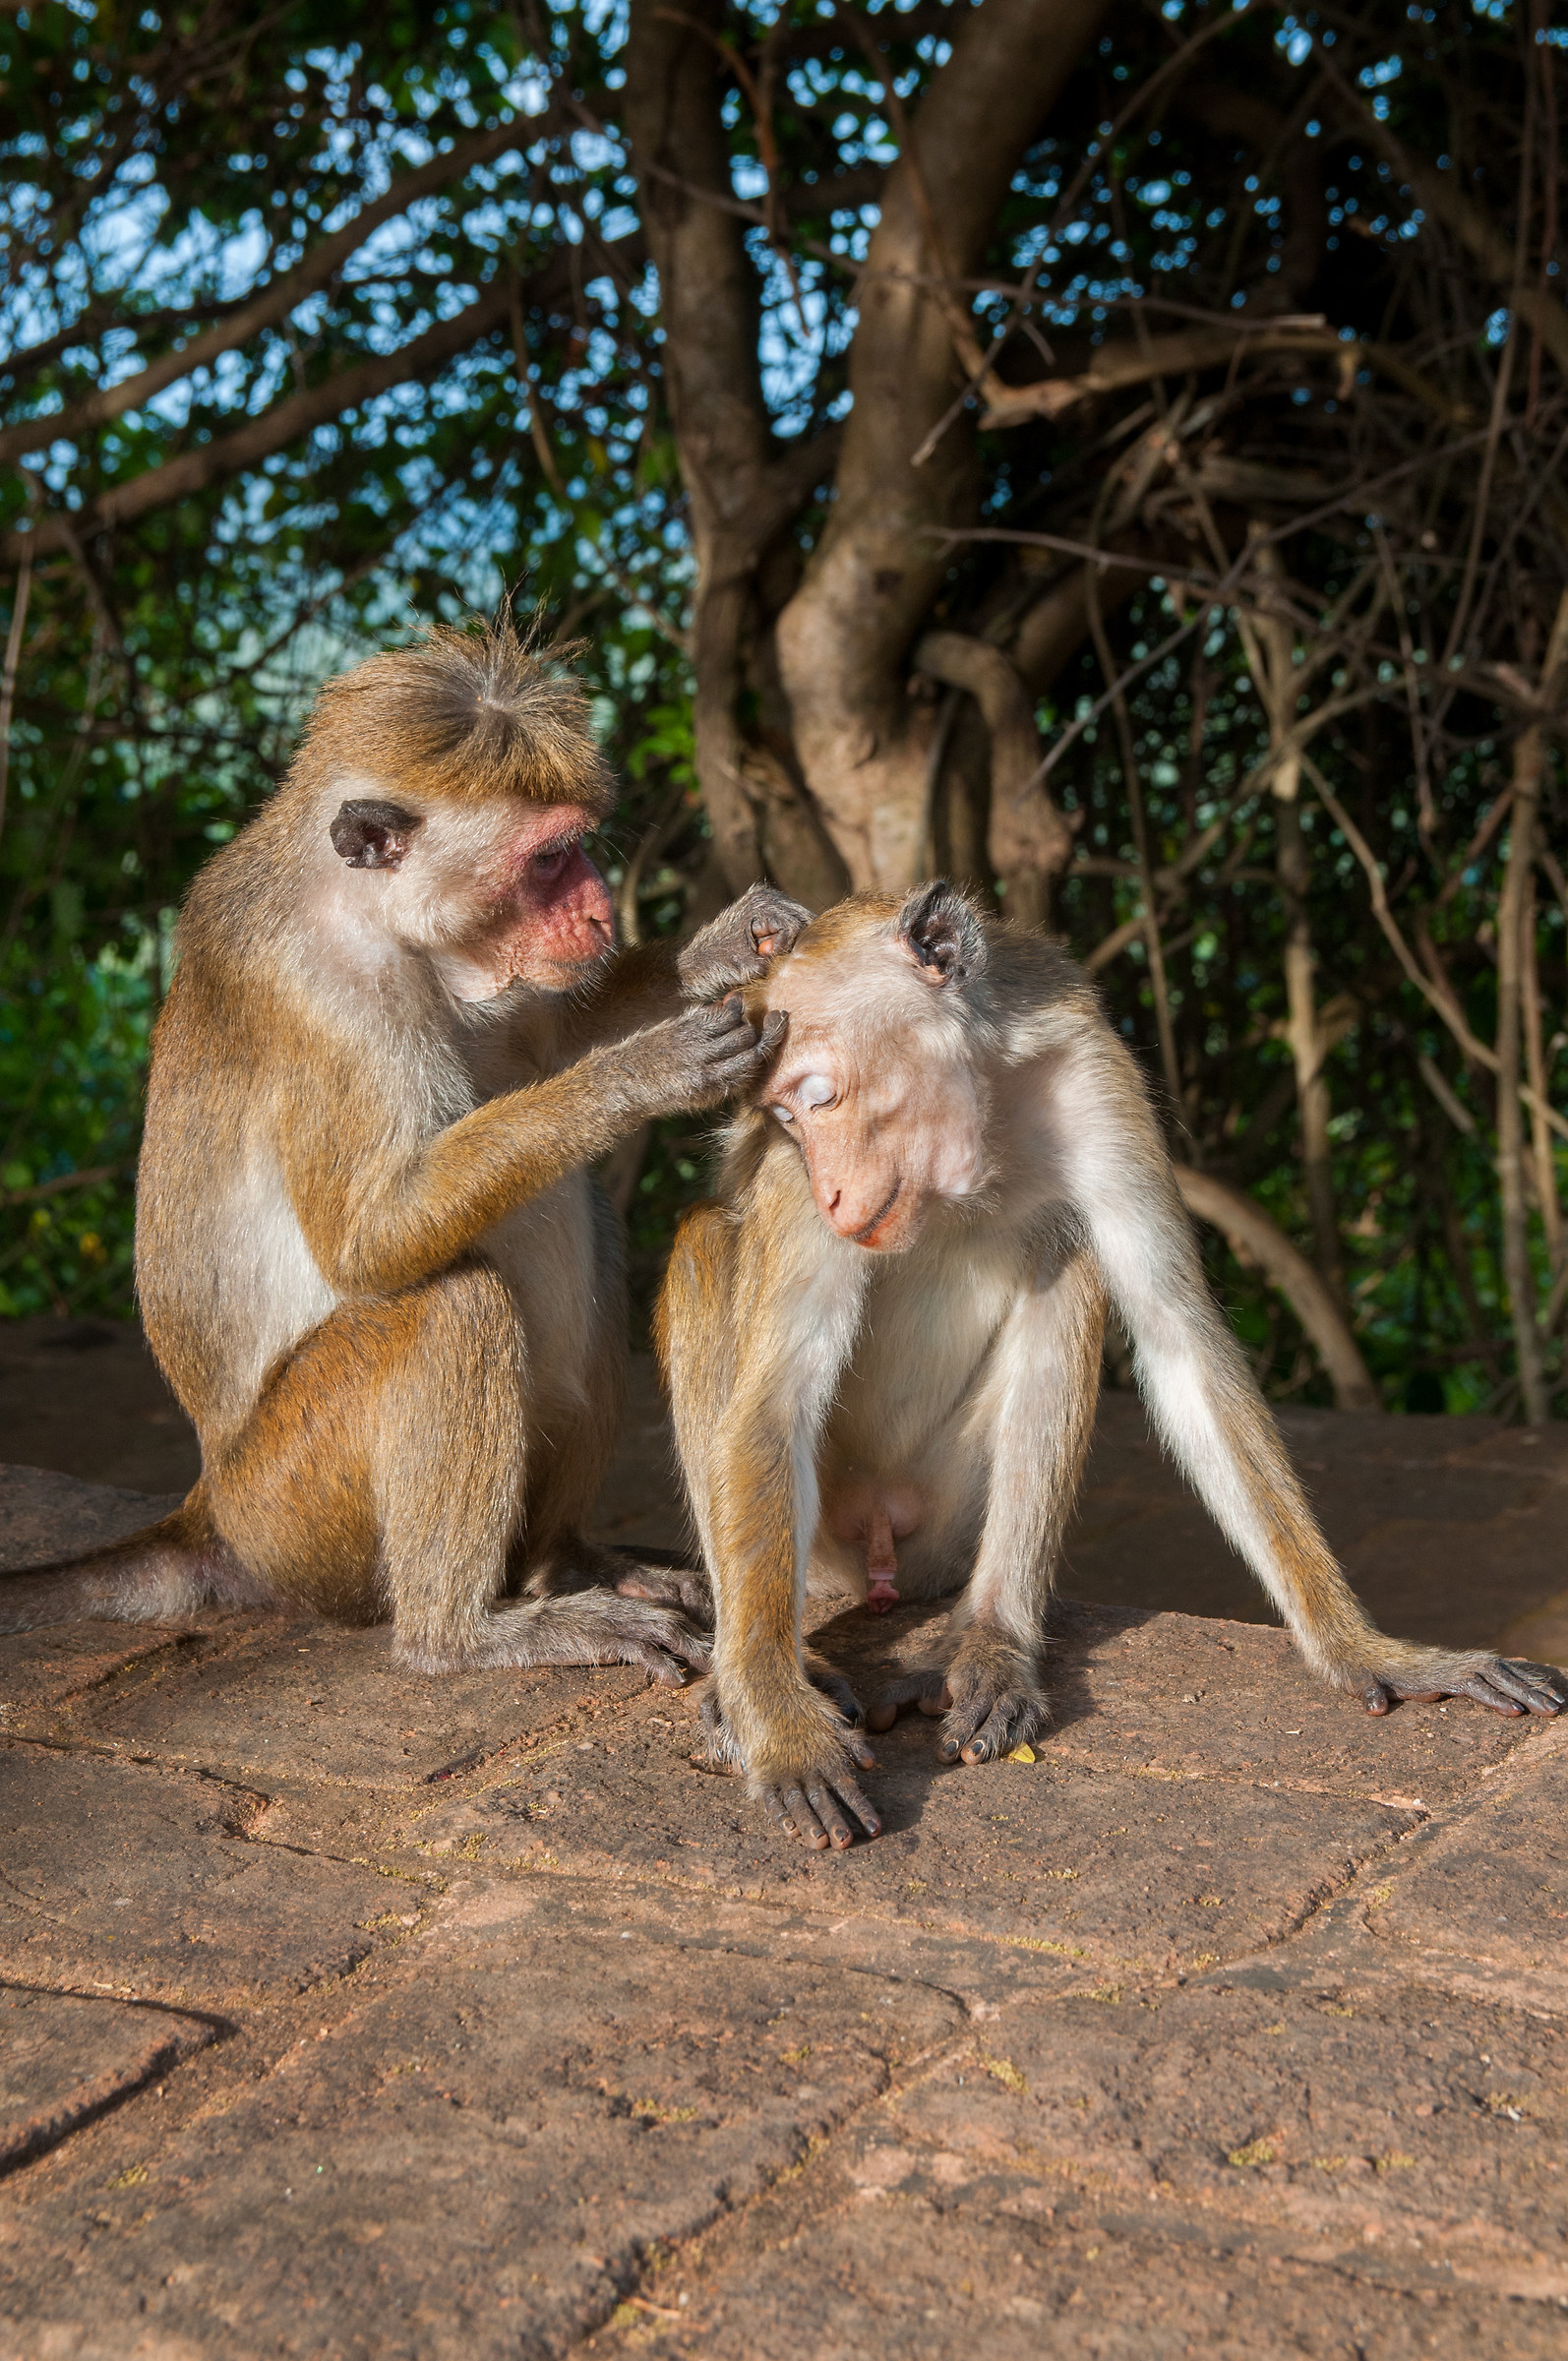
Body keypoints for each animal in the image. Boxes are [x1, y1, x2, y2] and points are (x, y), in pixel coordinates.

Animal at [3, 623, 808, 1680]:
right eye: (549, 860)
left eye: (578, 847)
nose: (600, 911)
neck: (371, 914)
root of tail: (209, 1509)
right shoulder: (328, 998)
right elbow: (370, 1243)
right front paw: (645, 1072)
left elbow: (552, 1038)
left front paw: (729, 943)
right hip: (294, 1507)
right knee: (452, 1301)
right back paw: (456, 1636)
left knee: (584, 1223)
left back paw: (564, 1562)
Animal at [661, 882, 1568, 1842]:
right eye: (786, 1119)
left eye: (822, 1097)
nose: (831, 1192)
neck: (974, 1135)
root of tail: (876, 1562)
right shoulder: (788, 1181)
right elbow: (773, 1409)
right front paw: (780, 1729)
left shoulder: (1095, 1081)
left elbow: (1180, 1342)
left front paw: (1367, 1649)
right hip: (828, 1537)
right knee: (702, 1244)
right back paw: (764, 1676)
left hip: (943, 1525)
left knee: (1073, 1262)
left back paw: (991, 1640)